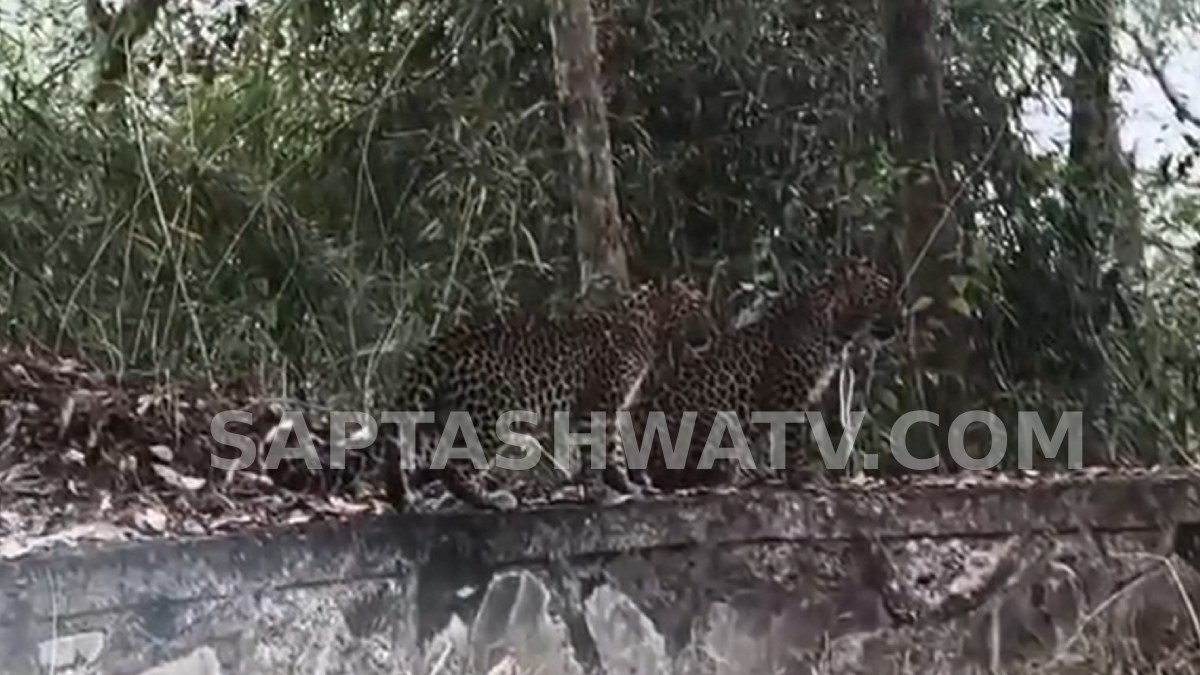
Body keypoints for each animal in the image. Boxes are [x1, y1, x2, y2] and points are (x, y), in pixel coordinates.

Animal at [382, 275, 717, 512]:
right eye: (697, 305)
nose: (714, 328)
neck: (649, 327)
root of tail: (450, 339)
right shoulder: (598, 405)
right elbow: (599, 452)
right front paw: (604, 493)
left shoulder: (610, 407)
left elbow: (614, 451)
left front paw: (627, 487)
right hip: (489, 416)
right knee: (454, 466)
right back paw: (491, 500)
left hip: (445, 413)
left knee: (418, 453)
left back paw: (408, 500)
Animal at [613, 255, 899, 493]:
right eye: (884, 293)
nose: (900, 321)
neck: (837, 327)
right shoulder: (787, 393)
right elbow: (789, 437)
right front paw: (800, 474)